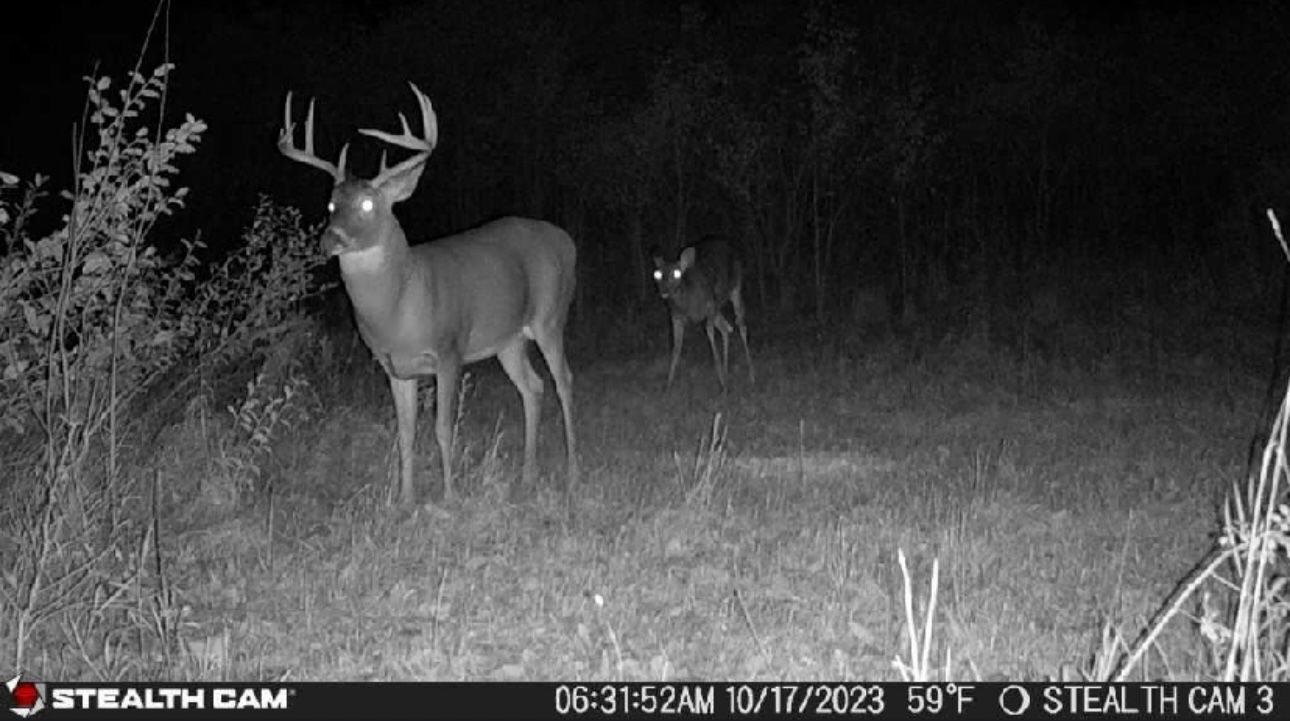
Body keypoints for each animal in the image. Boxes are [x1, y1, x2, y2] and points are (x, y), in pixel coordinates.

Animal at [278, 82, 578, 505]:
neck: (399, 305)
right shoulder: (393, 366)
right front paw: (405, 500)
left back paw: (572, 473)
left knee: (564, 381)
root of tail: (567, 240)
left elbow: (442, 428)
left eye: (368, 203)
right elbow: (405, 433)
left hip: (551, 316)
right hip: (508, 339)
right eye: (332, 204)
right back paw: (528, 475)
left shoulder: (449, 349)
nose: (330, 239)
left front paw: (449, 496)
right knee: (533, 388)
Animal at [652, 236, 754, 391]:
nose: (664, 291)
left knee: (740, 325)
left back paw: (750, 375)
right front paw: (667, 387)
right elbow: (676, 349)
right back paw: (726, 374)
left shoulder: (710, 308)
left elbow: (711, 339)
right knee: (727, 328)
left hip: (735, 288)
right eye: (657, 274)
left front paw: (722, 384)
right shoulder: (676, 317)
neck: (687, 304)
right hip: (718, 307)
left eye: (676, 273)